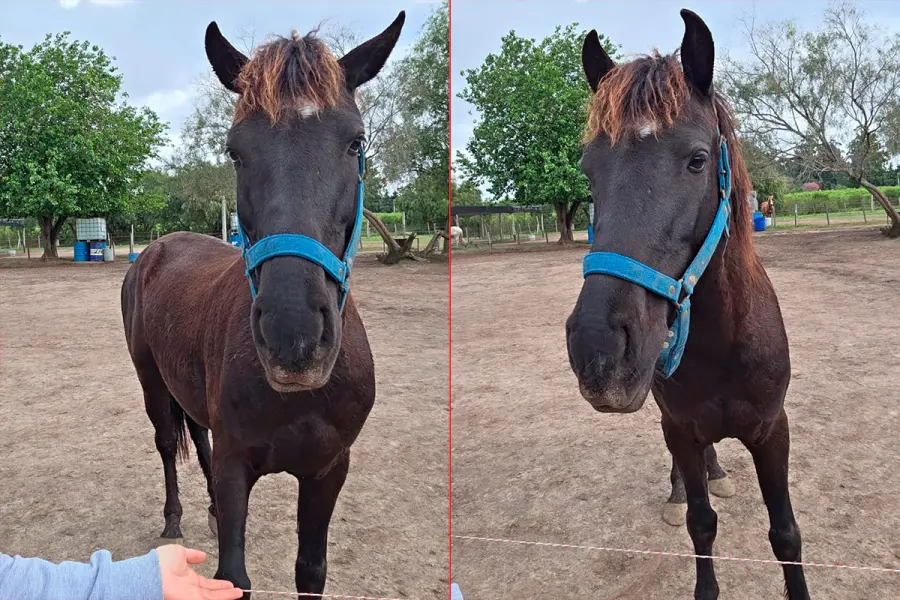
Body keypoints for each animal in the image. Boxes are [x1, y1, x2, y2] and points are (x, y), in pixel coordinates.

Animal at [120, 13, 405, 598]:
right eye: (235, 150)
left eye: (355, 142)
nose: (292, 335)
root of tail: (155, 250)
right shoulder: (237, 467)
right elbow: (234, 575)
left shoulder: (327, 470)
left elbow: (310, 571)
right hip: (151, 380)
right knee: (167, 441)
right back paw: (174, 518)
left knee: (197, 437)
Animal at [566, 10, 808, 600]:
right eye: (588, 170)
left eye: (698, 160)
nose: (599, 349)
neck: (724, 344)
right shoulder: (678, 426)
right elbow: (702, 524)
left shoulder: (773, 432)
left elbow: (786, 535)